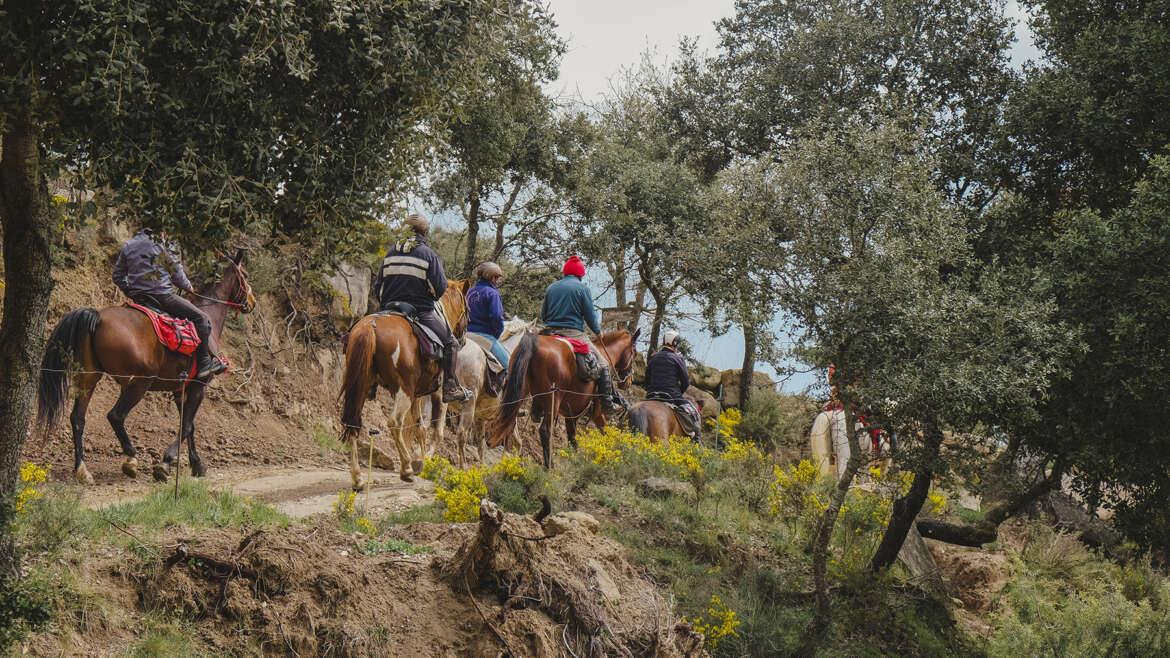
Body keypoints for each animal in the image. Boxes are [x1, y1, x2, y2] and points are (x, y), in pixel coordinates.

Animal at [34, 250, 256, 482]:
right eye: (246, 275)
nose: (252, 301)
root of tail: (98, 316)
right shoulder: (198, 386)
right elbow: (187, 426)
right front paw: (166, 462)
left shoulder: (180, 390)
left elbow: (189, 426)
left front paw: (197, 464)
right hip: (140, 383)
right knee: (115, 416)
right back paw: (130, 460)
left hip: (89, 377)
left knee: (78, 418)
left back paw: (82, 469)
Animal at [336, 276, 467, 487]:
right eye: (467, 308)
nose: (462, 339)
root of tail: (370, 325)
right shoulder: (438, 394)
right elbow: (436, 431)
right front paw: (421, 460)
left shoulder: (416, 396)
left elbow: (419, 427)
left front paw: (419, 460)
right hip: (403, 390)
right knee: (394, 422)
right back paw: (406, 469)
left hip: (361, 386)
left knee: (353, 422)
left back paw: (358, 478)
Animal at [491, 325, 645, 465]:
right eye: (634, 354)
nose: (628, 382)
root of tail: (534, 340)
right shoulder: (597, 415)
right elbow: (606, 433)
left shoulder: (572, 415)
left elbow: (572, 440)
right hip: (552, 399)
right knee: (545, 431)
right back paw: (549, 467)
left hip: (520, 391)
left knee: (509, 420)